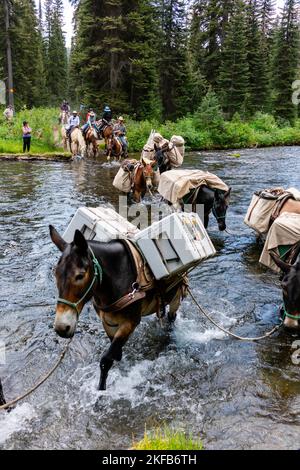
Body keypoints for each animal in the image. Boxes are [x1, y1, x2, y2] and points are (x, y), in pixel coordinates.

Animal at [49, 226, 183, 392]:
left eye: (80, 276)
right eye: (55, 273)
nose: (61, 328)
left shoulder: (131, 322)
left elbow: (106, 360)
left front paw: (101, 390)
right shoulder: (107, 321)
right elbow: (114, 350)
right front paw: (118, 356)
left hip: (176, 295)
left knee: (172, 317)